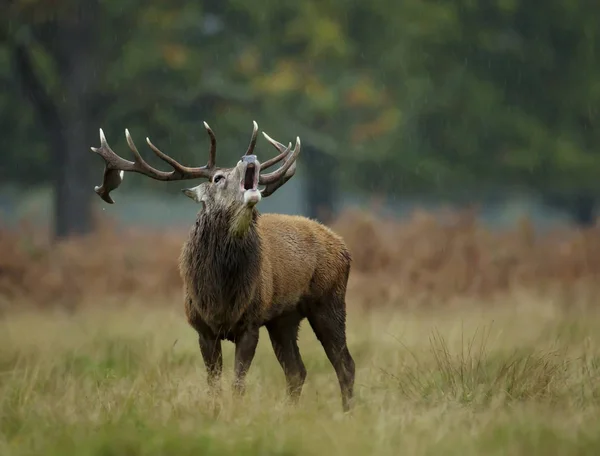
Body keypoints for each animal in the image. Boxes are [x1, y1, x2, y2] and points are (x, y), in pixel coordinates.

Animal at [91, 122, 354, 414]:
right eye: (217, 178)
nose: (249, 158)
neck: (221, 297)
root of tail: (342, 245)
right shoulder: (202, 328)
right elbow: (214, 384)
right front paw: (215, 411)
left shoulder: (250, 322)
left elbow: (238, 382)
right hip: (284, 318)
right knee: (297, 370)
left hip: (329, 300)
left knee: (344, 364)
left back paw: (346, 412)